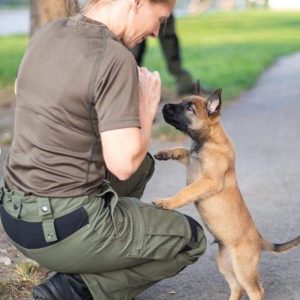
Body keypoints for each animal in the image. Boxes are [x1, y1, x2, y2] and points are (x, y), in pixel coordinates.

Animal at [154, 86, 300, 300]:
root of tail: (259, 238)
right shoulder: (191, 161)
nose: (164, 106)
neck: (207, 142)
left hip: (243, 267)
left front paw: (167, 202)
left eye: (189, 107)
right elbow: (182, 150)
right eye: (182, 101)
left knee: (256, 289)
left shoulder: (208, 181)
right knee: (237, 287)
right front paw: (165, 153)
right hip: (224, 263)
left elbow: (186, 191)